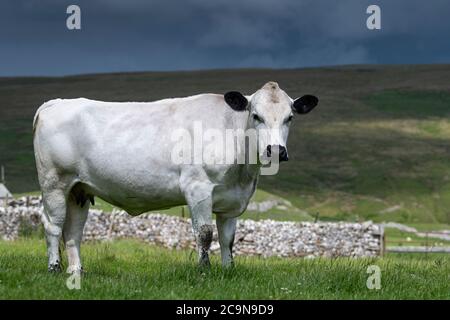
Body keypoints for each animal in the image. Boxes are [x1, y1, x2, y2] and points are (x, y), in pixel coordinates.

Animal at [33, 81, 318, 272]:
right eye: (256, 116)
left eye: (290, 117)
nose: (276, 150)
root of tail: (56, 102)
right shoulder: (197, 188)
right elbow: (204, 233)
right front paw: (204, 270)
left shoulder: (232, 200)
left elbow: (228, 238)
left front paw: (228, 269)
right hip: (54, 182)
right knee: (53, 225)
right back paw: (54, 268)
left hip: (79, 189)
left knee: (73, 230)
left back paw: (76, 270)